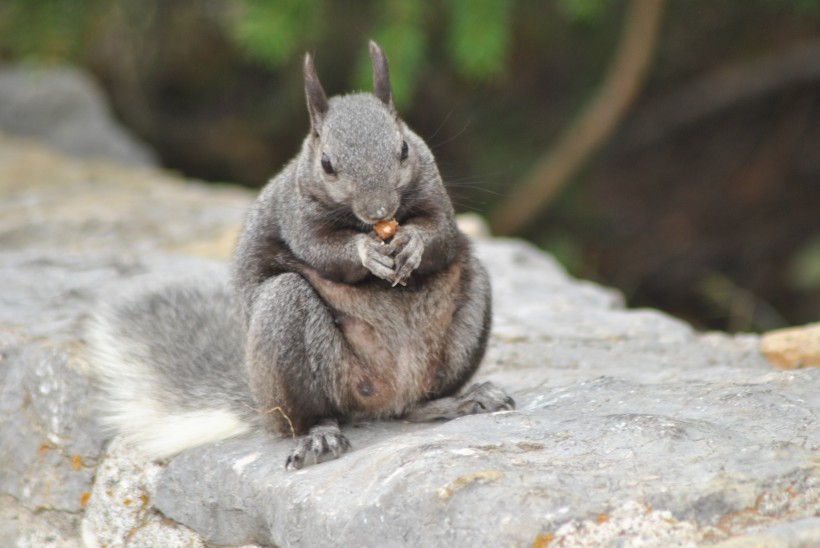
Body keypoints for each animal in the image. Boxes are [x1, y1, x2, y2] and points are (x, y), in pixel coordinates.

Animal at [88, 41, 512, 470]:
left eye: (405, 148)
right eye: (327, 163)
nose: (379, 209)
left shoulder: (433, 188)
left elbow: (441, 234)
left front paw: (412, 243)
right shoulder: (297, 217)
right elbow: (324, 251)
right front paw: (366, 253)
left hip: (467, 309)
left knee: (417, 404)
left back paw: (458, 400)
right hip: (289, 325)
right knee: (311, 415)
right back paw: (320, 437)